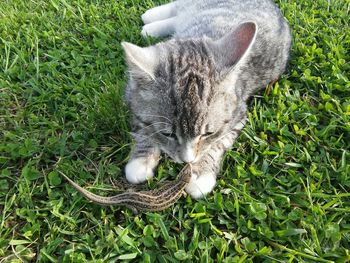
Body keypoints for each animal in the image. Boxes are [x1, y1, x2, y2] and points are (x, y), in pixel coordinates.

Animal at [121, 0, 292, 198]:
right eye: (168, 134)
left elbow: (218, 144)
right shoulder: (131, 95)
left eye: (208, 133)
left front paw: (201, 172)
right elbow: (141, 127)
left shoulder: (237, 115)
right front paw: (141, 158)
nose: (186, 160)